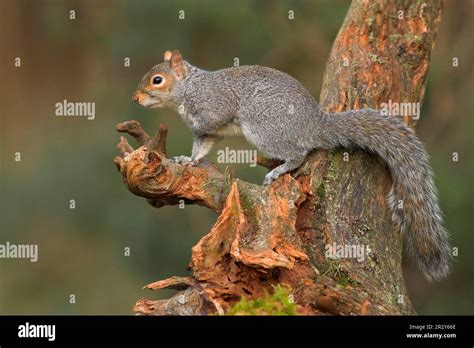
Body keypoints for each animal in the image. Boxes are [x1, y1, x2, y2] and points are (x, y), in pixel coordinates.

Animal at [132, 49, 452, 282]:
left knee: (298, 154)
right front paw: (188, 160)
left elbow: (211, 121)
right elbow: (201, 147)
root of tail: (315, 124)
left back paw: (278, 170)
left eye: (157, 80)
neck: (190, 87)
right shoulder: (207, 136)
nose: (135, 97)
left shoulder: (215, 105)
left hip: (264, 128)